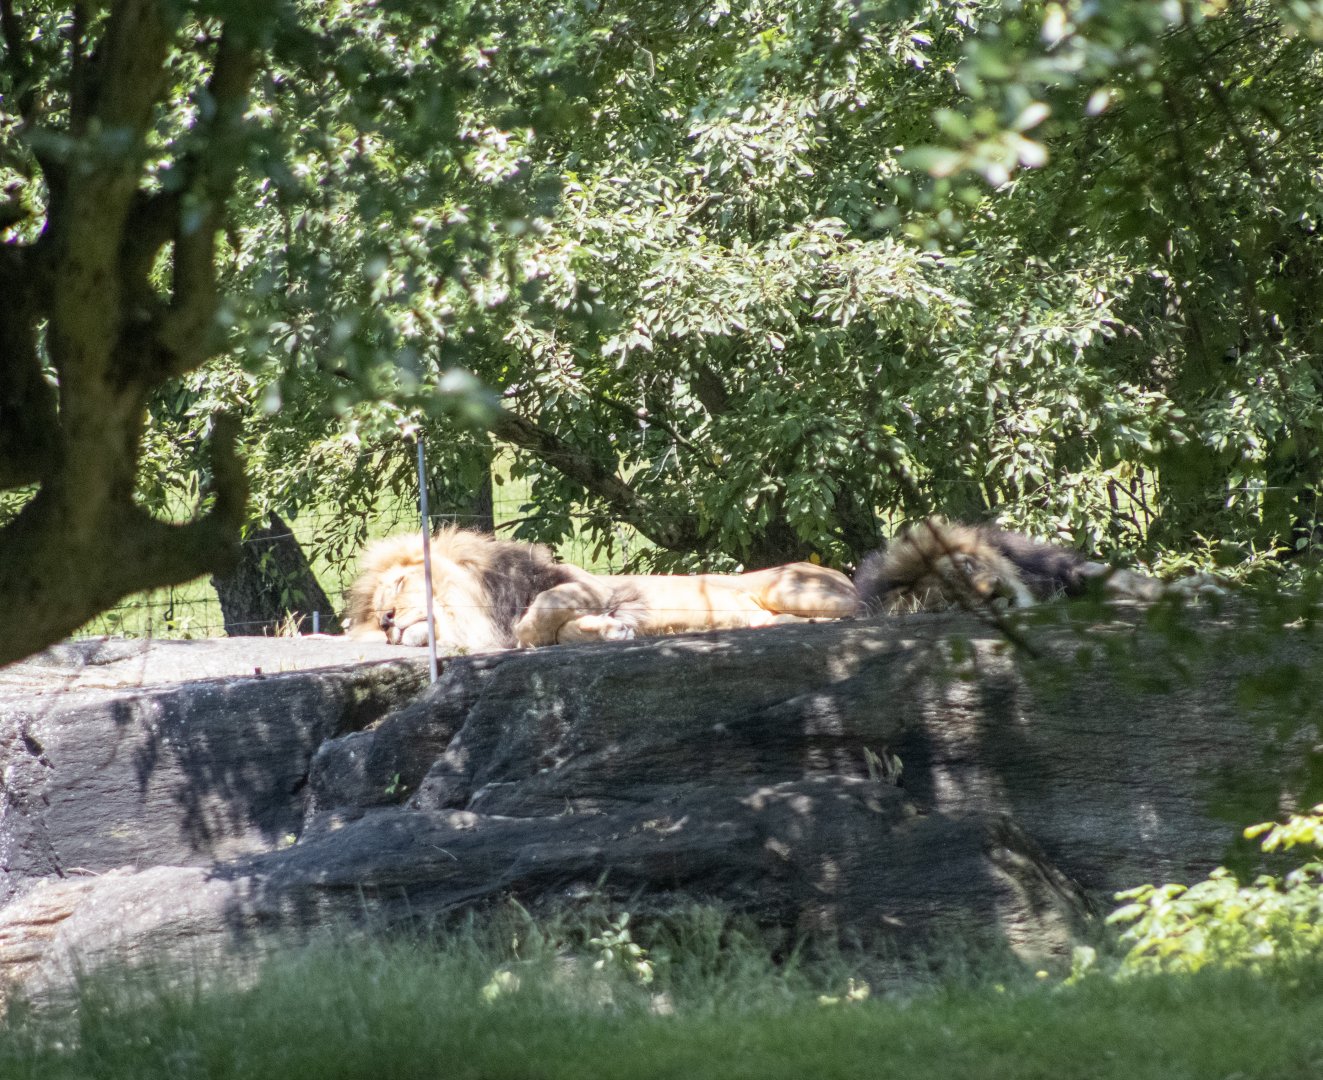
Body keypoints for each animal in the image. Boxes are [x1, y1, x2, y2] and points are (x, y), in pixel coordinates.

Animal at [853, 517, 1222, 614]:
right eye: (954, 601)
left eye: (967, 566)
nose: (995, 591)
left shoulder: (1066, 570)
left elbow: (1135, 583)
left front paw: (1197, 589)